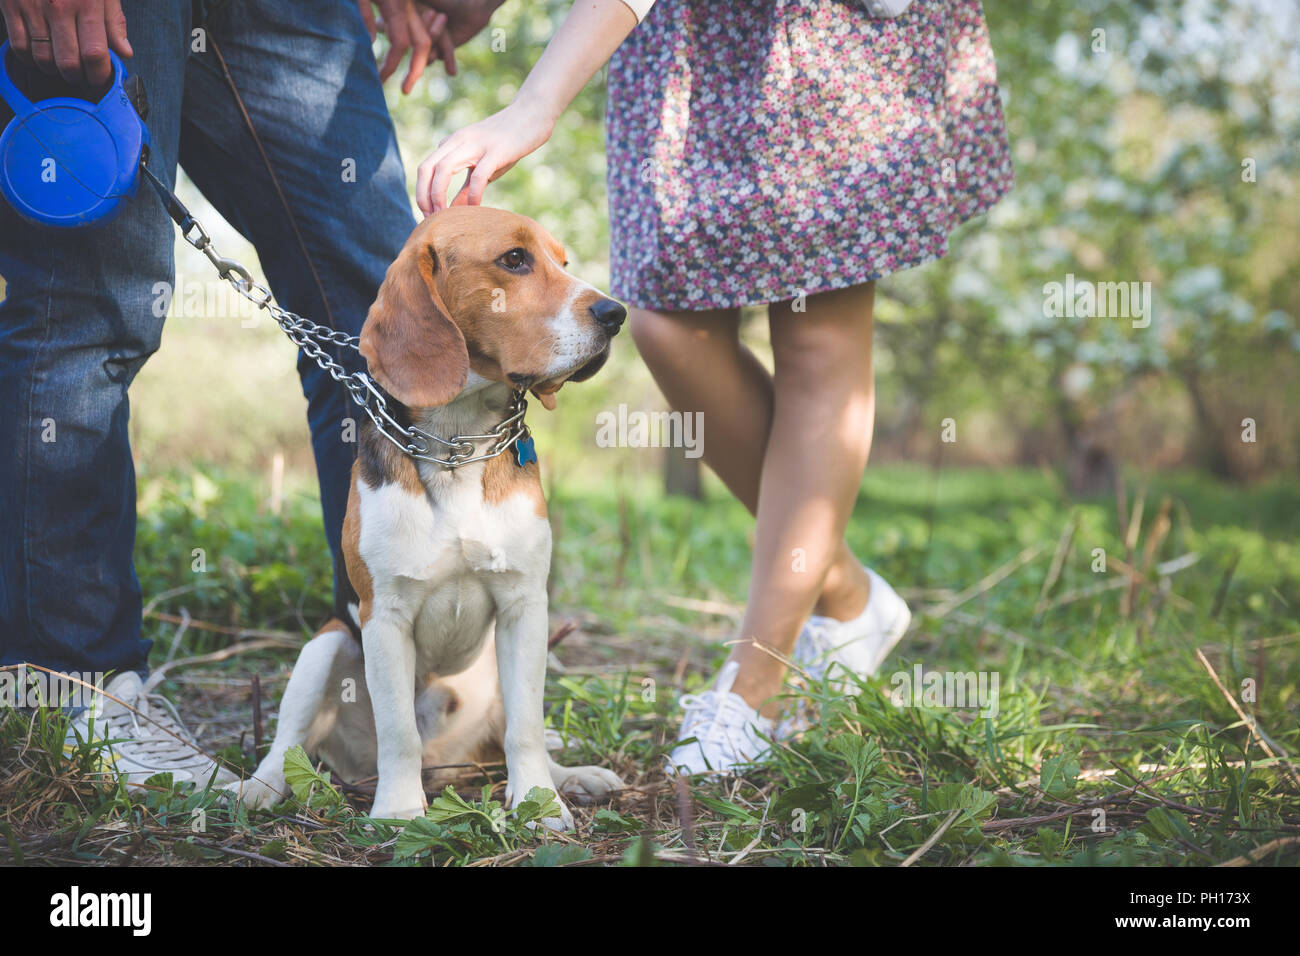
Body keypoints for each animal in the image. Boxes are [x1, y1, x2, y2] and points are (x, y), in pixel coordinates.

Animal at [227, 208, 624, 832]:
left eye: (563, 261)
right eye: (515, 259)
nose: (616, 314)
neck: (459, 439)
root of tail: (447, 765)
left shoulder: (525, 607)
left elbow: (527, 730)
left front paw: (540, 803)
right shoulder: (384, 616)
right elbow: (398, 732)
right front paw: (397, 811)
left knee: (511, 733)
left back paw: (573, 778)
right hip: (324, 648)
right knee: (288, 743)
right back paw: (261, 788)